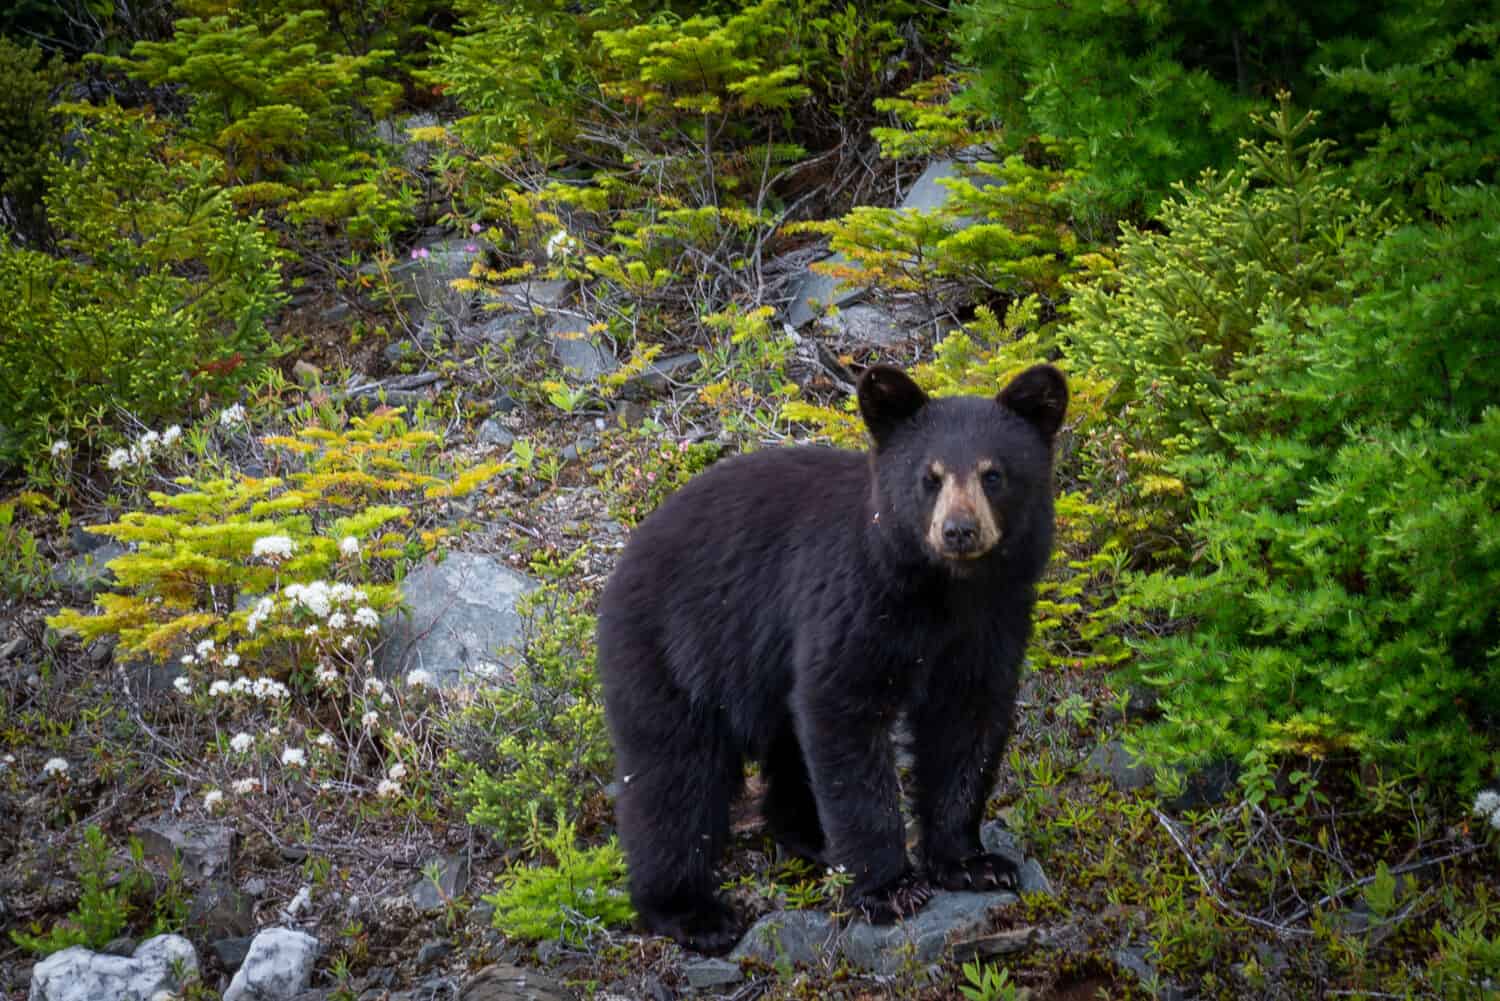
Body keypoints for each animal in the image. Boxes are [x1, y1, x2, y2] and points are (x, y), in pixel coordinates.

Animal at [594, 361, 1068, 954]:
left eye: (993, 474)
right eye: (930, 477)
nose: (958, 530)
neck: (942, 591)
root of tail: (625, 556)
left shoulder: (993, 621)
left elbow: (967, 726)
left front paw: (972, 862)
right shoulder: (853, 602)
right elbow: (843, 714)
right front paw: (889, 888)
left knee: (784, 748)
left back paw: (811, 836)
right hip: (673, 652)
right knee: (674, 778)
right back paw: (691, 911)